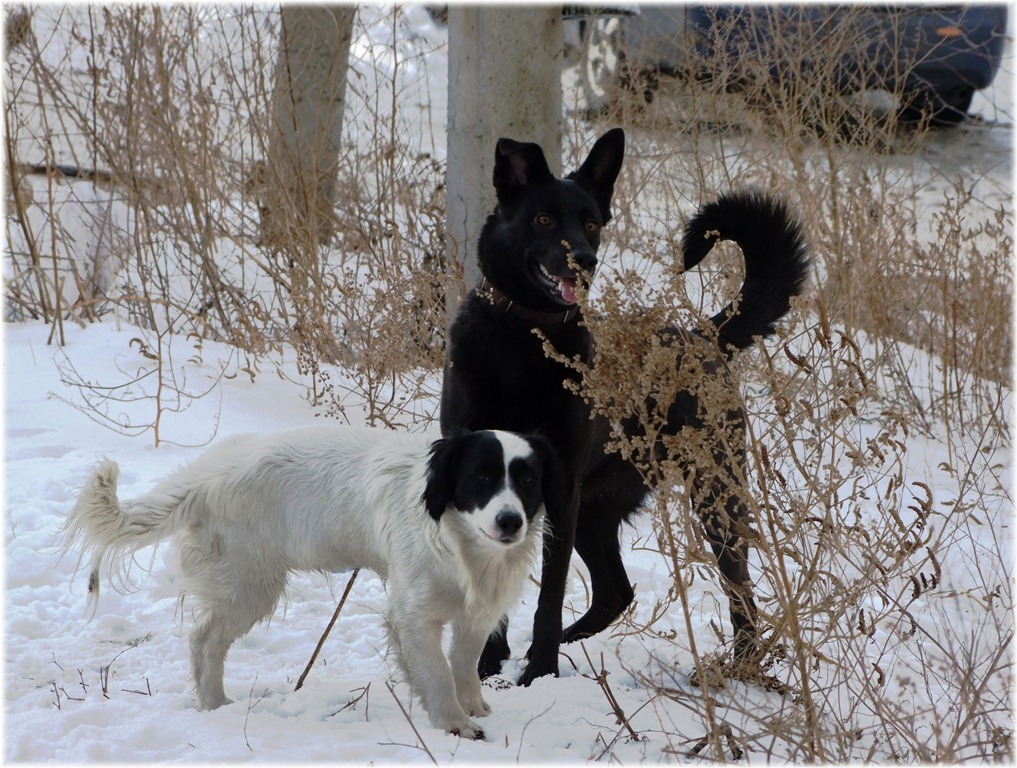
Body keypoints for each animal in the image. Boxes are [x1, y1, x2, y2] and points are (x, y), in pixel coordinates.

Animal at [61, 427, 565, 740]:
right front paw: (456, 725)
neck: (458, 541)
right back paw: (216, 705)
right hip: (249, 586)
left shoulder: (475, 614)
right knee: (203, 641)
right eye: (481, 476)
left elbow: (463, 663)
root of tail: (202, 479)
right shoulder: (413, 615)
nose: (510, 522)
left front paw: (473, 706)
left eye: (527, 479)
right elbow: (438, 672)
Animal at [441, 127, 805, 683]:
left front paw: (537, 673)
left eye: (591, 223)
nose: (585, 260)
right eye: (544, 219)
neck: (523, 341)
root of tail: (703, 335)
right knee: (617, 592)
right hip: (598, 509)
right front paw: (489, 666)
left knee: (739, 589)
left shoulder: (560, 491)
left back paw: (738, 668)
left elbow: (549, 595)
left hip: (714, 493)